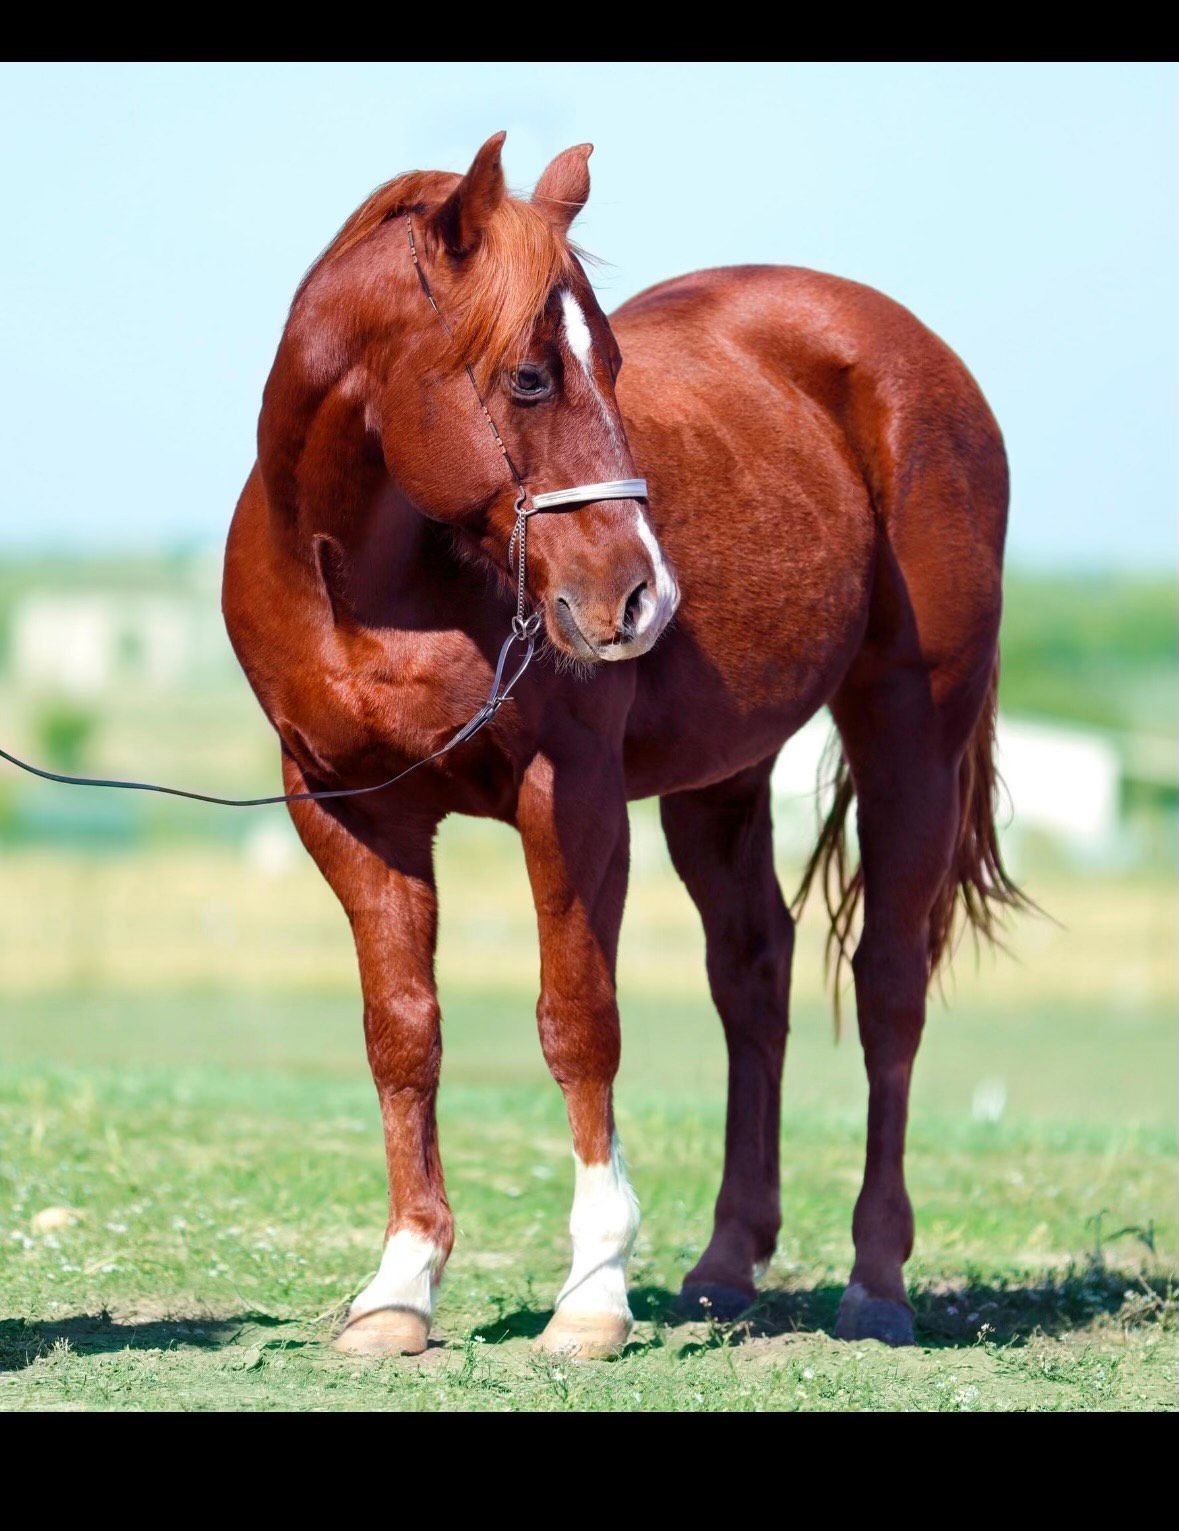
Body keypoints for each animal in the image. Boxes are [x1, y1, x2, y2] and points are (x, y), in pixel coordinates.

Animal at [223, 132, 1024, 1359]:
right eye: (530, 376)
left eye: (608, 358)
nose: (642, 596)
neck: (368, 587)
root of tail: (907, 350)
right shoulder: (350, 811)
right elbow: (403, 1032)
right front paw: (399, 1288)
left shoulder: (573, 797)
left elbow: (577, 1022)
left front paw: (593, 1292)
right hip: (721, 778)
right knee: (753, 972)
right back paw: (726, 1263)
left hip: (911, 729)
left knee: (888, 983)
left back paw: (876, 1280)